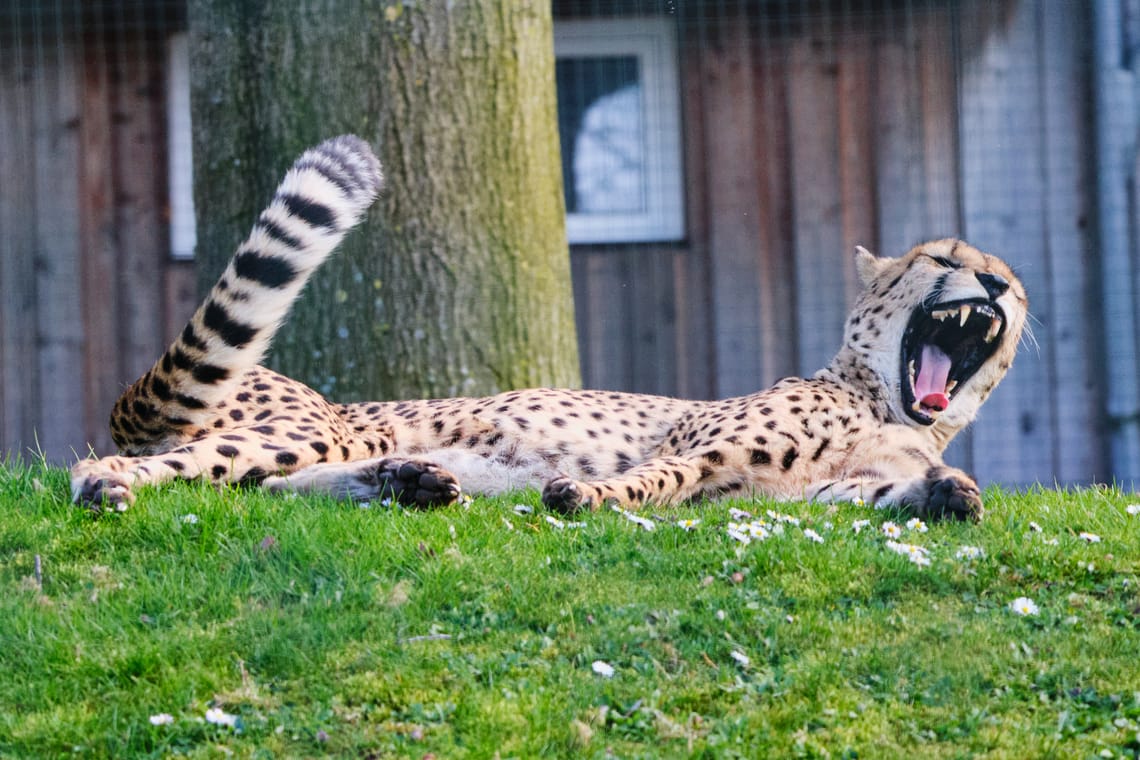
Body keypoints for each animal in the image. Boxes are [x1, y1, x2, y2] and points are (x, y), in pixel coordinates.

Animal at [71, 135, 1028, 521]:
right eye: (939, 256)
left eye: (1011, 285)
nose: (992, 283)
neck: (891, 404)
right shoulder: (702, 456)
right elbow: (648, 481)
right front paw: (585, 496)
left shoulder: (788, 494)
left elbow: (875, 495)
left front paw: (946, 494)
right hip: (301, 429)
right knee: (159, 467)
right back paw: (106, 485)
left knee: (251, 490)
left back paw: (408, 484)